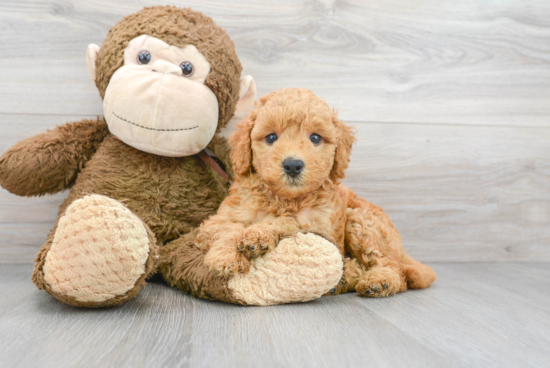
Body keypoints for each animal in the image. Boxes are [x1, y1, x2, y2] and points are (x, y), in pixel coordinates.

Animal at [196, 87, 438, 298]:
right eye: (271, 137)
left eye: (315, 138)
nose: (293, 165)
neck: (284, 199)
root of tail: (402, 250)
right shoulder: (220, 218)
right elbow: (228, 229)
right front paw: (225, 257)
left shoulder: (320, 229)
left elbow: (288, 222)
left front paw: (257, 234)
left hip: (361, 221)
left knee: (393, 269)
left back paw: (378, 281)